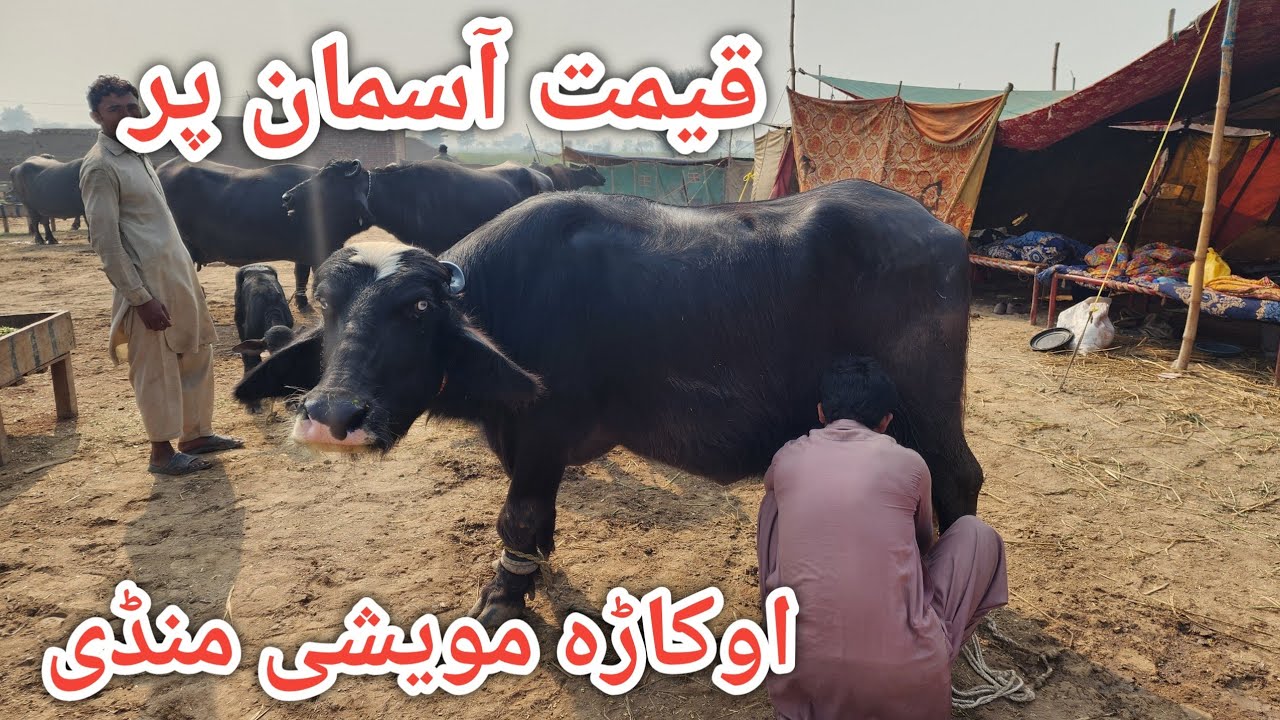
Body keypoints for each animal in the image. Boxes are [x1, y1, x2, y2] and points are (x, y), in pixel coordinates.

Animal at [237, 179, 983, 628]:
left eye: (417, 308)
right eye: (327, 305)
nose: (333, 416)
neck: (509, 298)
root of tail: (941, 233)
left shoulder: (543, 429)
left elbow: (516, 515)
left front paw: (500, 597)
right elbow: (533, 518)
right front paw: (533, 570)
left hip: (929, 405)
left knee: (958, 480)